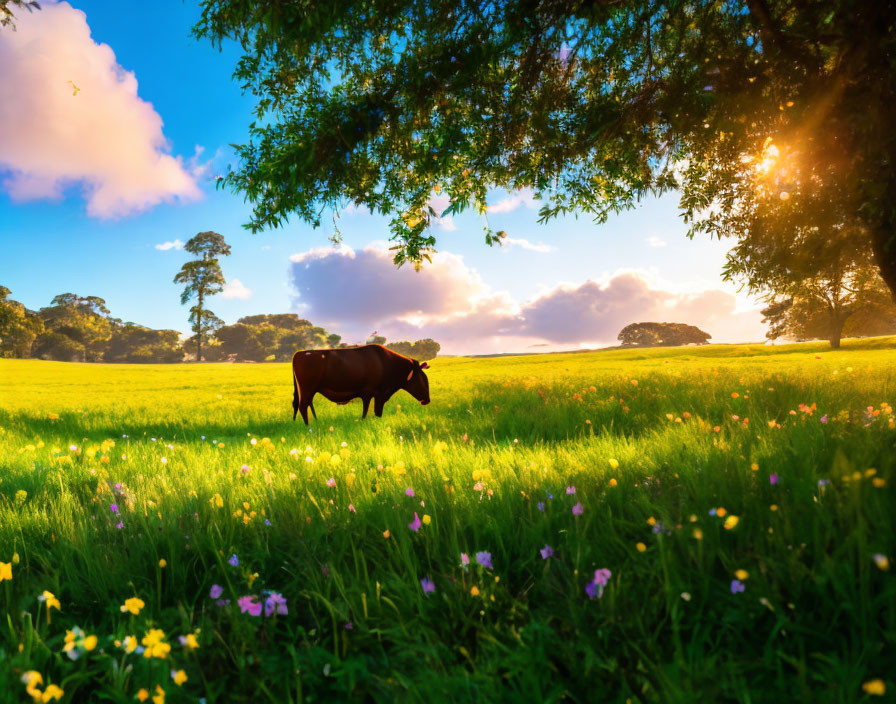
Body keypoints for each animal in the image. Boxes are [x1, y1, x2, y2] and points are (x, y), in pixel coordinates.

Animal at [294, 346, 430, 424]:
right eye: (422, 379)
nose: (427, 400)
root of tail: (299, 353)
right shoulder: (377, 395)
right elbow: (374, 412)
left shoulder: (369, 396)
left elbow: (367, 412)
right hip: (307, 389)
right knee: (302, 406)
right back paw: (308, 426)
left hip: (310, 390)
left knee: (305, 405)